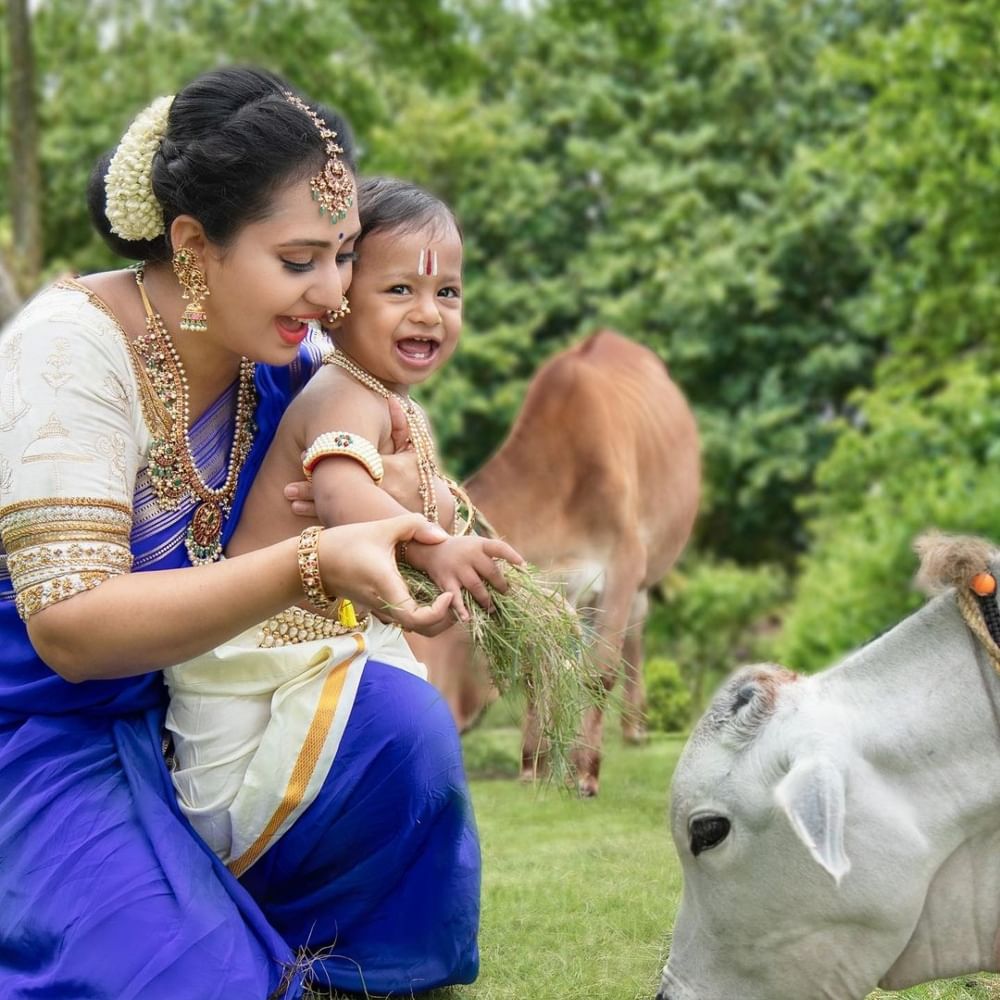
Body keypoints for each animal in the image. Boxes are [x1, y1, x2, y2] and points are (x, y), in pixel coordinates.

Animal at [410, 330, 700, 796]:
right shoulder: (544, 588)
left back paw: (635, 730)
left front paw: (585, 772)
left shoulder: (622, 567)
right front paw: (535, 764)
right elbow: (537, 671)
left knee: (635, 632)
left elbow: (599, 671)